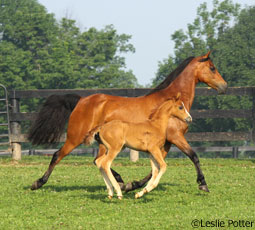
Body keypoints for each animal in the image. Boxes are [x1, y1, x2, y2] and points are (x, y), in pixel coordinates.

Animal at [29, 51, 227, 192]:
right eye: (212, 68)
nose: (224, 86)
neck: (168, 104)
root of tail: (81, 100)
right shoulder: (176, 137)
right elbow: (194, 156)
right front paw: (203, 184)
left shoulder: (165, 142)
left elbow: (157, 165)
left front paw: (135, 185)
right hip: (75, 137)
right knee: (58, 155)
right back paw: (38, 183)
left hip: (102, 142)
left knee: (98, 160)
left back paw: (121, 182)